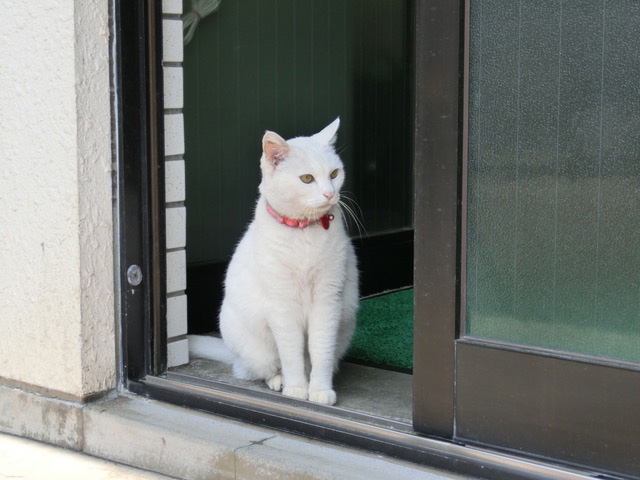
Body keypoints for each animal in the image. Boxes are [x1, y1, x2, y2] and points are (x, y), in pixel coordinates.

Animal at [190, 119, 360, 404]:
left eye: (334, 174)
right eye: (306, 179)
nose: (329, 194)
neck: (304, 232)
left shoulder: (327, 300)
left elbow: (320, 351)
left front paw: (320, 390)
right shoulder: (282, 304)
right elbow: (291, 354)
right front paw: (296, 388)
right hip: (256, 349)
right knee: (255, 369)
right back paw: (278, 381)